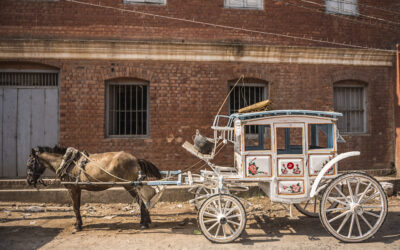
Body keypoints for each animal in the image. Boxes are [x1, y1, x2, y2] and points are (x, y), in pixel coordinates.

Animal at [26, 146, 162, 231]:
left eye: (30, 163)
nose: (29, 181)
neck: (67, 163)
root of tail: (135, 159)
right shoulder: (78, 189)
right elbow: (77, 206)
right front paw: (78, 223)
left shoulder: (72, 189)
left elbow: (75, 207)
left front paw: (78, 226)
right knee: (142, 201)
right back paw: (146, 221)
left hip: (129, 185)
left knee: (141, 202)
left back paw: (144, 223)